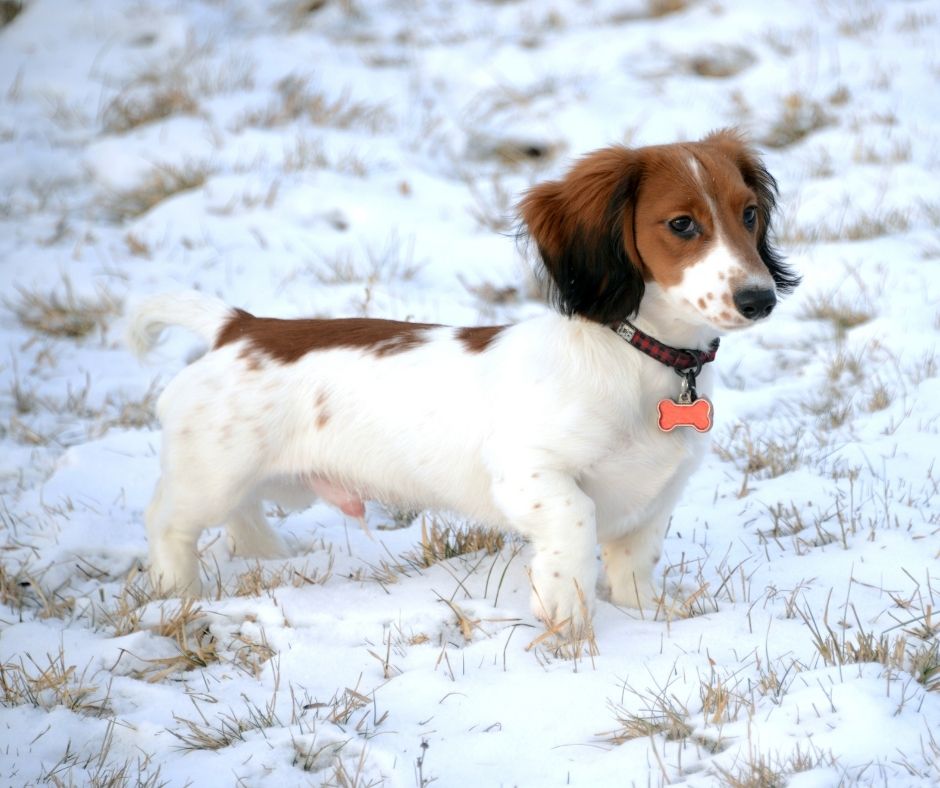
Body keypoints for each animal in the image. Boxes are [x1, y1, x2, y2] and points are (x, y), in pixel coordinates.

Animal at [129, 131, 796, 636]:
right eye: (682, 223)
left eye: (748, 213)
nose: (760, 299)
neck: (638, 357)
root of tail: (238, 326)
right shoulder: (529, 471)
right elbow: (576, 520)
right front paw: (565, 613)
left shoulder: (653, 496)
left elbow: (636, 563)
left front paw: (651, 615)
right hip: (212, 472)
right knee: (168, 520)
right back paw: (179, 595)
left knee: (242, 514)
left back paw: (268, 557)